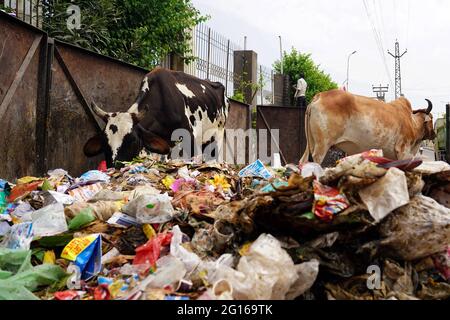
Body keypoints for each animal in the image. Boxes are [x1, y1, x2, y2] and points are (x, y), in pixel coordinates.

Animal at [300, 90, 434, 165]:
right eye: (432, 118)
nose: (434, 134)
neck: (412, 123)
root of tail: (319, 96)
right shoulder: (403, 151)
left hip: (311, 143)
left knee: (303, 162)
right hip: (322, 145)